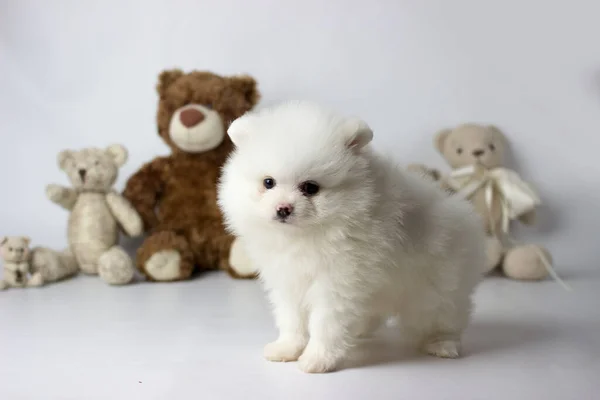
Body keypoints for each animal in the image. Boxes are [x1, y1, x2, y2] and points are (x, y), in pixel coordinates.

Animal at [218, 101, 486, 374]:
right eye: (268, 183)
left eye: (310, 187)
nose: (283, 208)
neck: (306, 235)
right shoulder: (289, 279)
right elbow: (292, 318)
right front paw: (287, 348)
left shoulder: (338, 280)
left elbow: (325, 322)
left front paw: (317, 359)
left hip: (438, 285)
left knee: (445, 315)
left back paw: (442, 344)